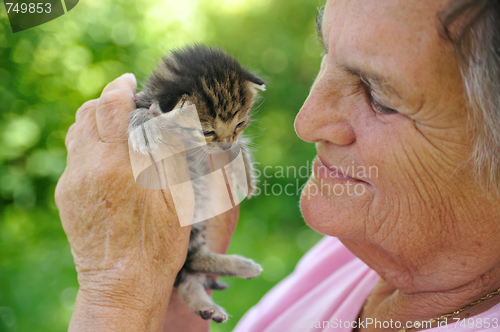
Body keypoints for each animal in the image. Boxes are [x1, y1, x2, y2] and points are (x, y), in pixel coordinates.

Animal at [128, 44, 266, 322]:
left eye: (240, 124)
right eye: (207, 131)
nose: (226, 145)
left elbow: (241, 146)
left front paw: (245, 172)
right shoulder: (141, 99)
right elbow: (141, 111)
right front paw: (143, 127)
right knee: (191, 261)